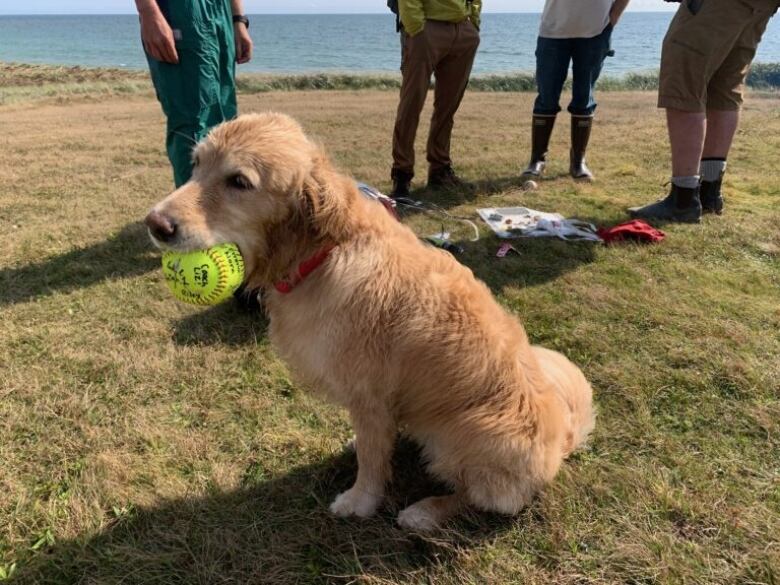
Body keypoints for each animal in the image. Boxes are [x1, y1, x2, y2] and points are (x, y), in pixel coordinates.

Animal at [143, 110, 596, 528]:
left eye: (239, 181)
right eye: (196, 163)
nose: (155, 224)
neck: (322, 252)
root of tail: (562, 442)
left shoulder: (370, 394)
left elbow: (373, 461)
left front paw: (360, 501)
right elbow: (372, 446)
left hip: (467, 432)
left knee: (484, 497)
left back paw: (426, 511)